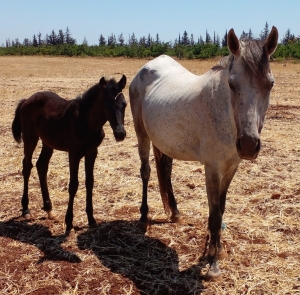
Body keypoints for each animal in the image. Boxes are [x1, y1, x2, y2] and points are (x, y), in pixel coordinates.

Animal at [12, 75, 127, 235]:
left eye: (125, 104)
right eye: (107, 104)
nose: (120, 134)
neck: (85, 121)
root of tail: (26, 100)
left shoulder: (92, 153)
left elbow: (89, 182)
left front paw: (91, 220)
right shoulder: (74, 154)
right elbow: (73, 185)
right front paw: (69, 223)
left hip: (48, 142)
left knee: (41, 166)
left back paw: (49, 209)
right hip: (30, 138)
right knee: (27, 166)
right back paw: (26, 209)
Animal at [129, 26, 278, 280]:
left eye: (270, 84)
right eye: (232, 84)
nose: (249, 145)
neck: (225, 114)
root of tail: (147, 67)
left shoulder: (231, 167)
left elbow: (221, 208)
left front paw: (216, 250)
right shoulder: (212, 168)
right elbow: (215, 214)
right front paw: (212, 264)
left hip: (165, 142)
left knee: (165, 172)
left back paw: (175, 213)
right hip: (143, 136)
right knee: (146, 172)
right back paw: (143, 217)